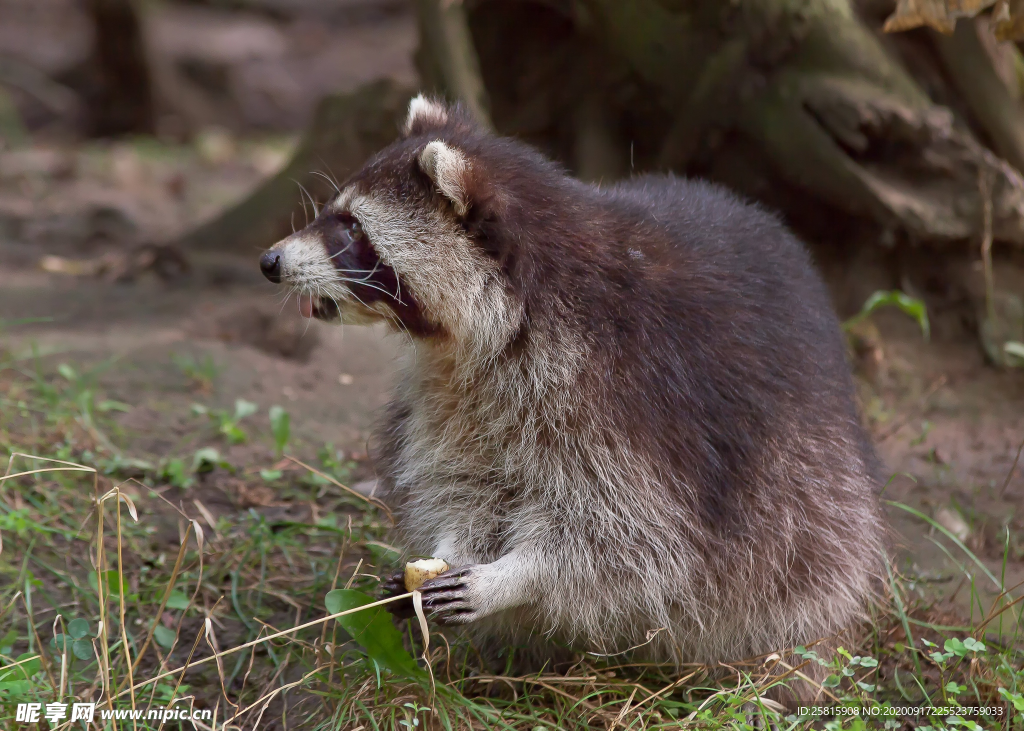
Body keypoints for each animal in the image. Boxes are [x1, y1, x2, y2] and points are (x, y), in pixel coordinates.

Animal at [260, 95, 884, 683]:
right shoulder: (452, 385)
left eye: (352, 229)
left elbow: (636, 538)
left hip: (811, 500)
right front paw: (450, 548)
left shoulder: (627, 398)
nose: (269, 260)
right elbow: (461, 480)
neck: (514, 306)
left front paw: (515, 577)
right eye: (333, 212)